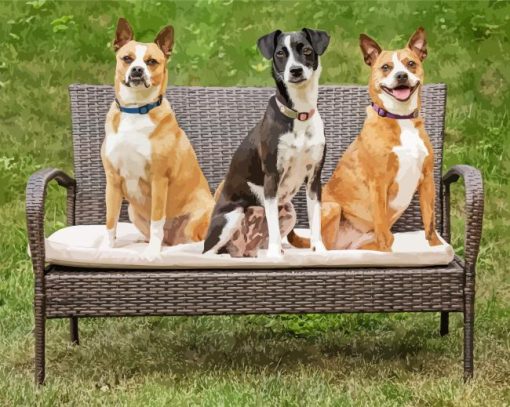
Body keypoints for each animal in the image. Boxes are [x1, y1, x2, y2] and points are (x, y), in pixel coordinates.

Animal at [100, 18, 214, 258]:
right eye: (127, 58)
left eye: (151, 61)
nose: (137, 70)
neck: (136, 110)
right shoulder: (112, 180)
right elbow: (110, 221)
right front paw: (107, 248)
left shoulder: (158, 179)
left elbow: (156, 221)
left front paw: (152, 253)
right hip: (133, 211)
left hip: (195, 220)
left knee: (196, 242)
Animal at [203, 27, 330, 258]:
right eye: (280, 53)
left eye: (307, 50)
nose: (295, 70)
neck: (299, 115)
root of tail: (240, 250)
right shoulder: (271, 178)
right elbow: (273, 226)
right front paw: (275, 255)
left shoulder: (314, 179)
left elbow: (315, 220)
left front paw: (320, 250)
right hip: (231, 216)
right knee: (208, 252)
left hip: (289, 211)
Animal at [290, 27, 442, 252]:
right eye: (386, 67)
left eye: (410, 63)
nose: (401, 75)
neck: (400, 118)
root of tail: (345, 245)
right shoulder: (378, 184)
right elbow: (381, 227)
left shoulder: (427, 180)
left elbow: (430, 222)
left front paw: (437, 246)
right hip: (332, 209)